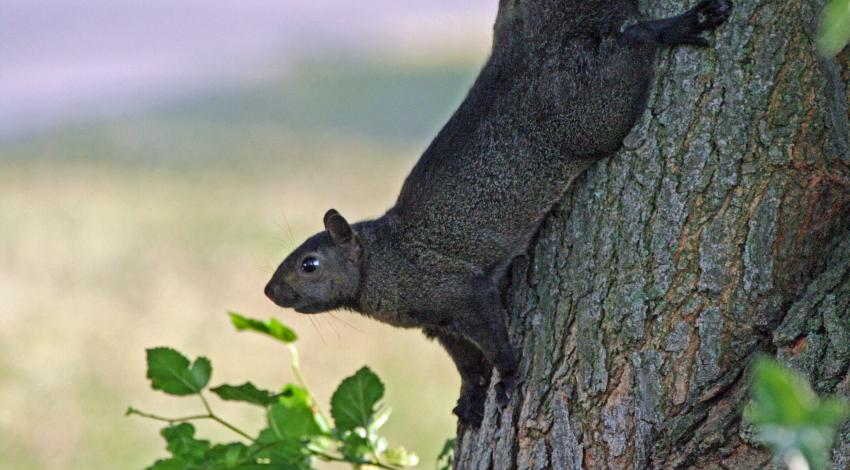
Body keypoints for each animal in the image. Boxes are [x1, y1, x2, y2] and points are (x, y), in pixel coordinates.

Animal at [264, 0, 728, 426]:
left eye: (309, 264)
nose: (269, 292)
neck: (384, 260)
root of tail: (532, 50)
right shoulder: (438, 325)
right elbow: (468, 365)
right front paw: (471, 399)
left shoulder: (461, 293)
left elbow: (493, 341)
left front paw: (506, 377)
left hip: (594, 113)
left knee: (628, 46)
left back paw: (677, 26)